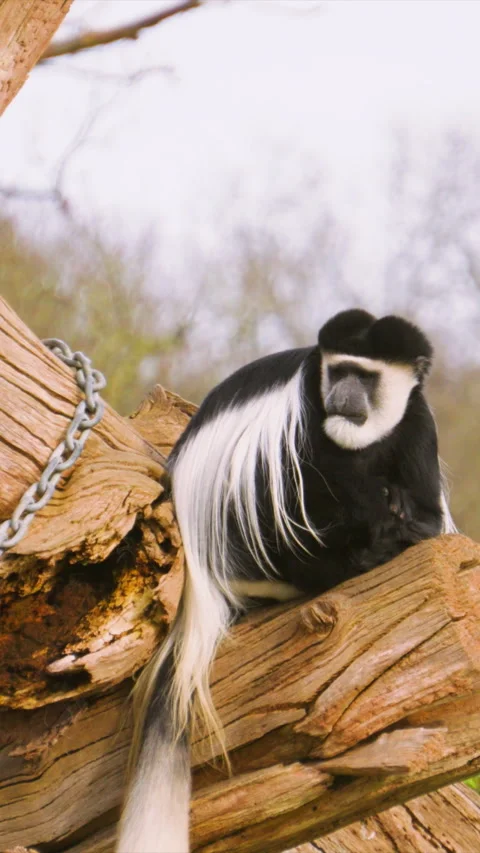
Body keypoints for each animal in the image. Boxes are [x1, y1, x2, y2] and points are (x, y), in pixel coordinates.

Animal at [117, 309, 455, 853]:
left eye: (365, 377)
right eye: (338, 371)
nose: (342, 395)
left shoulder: (418, 422)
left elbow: (425, 510)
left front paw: (405, 521)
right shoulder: (306, 411)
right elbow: (319, 472)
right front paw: (383, 532)